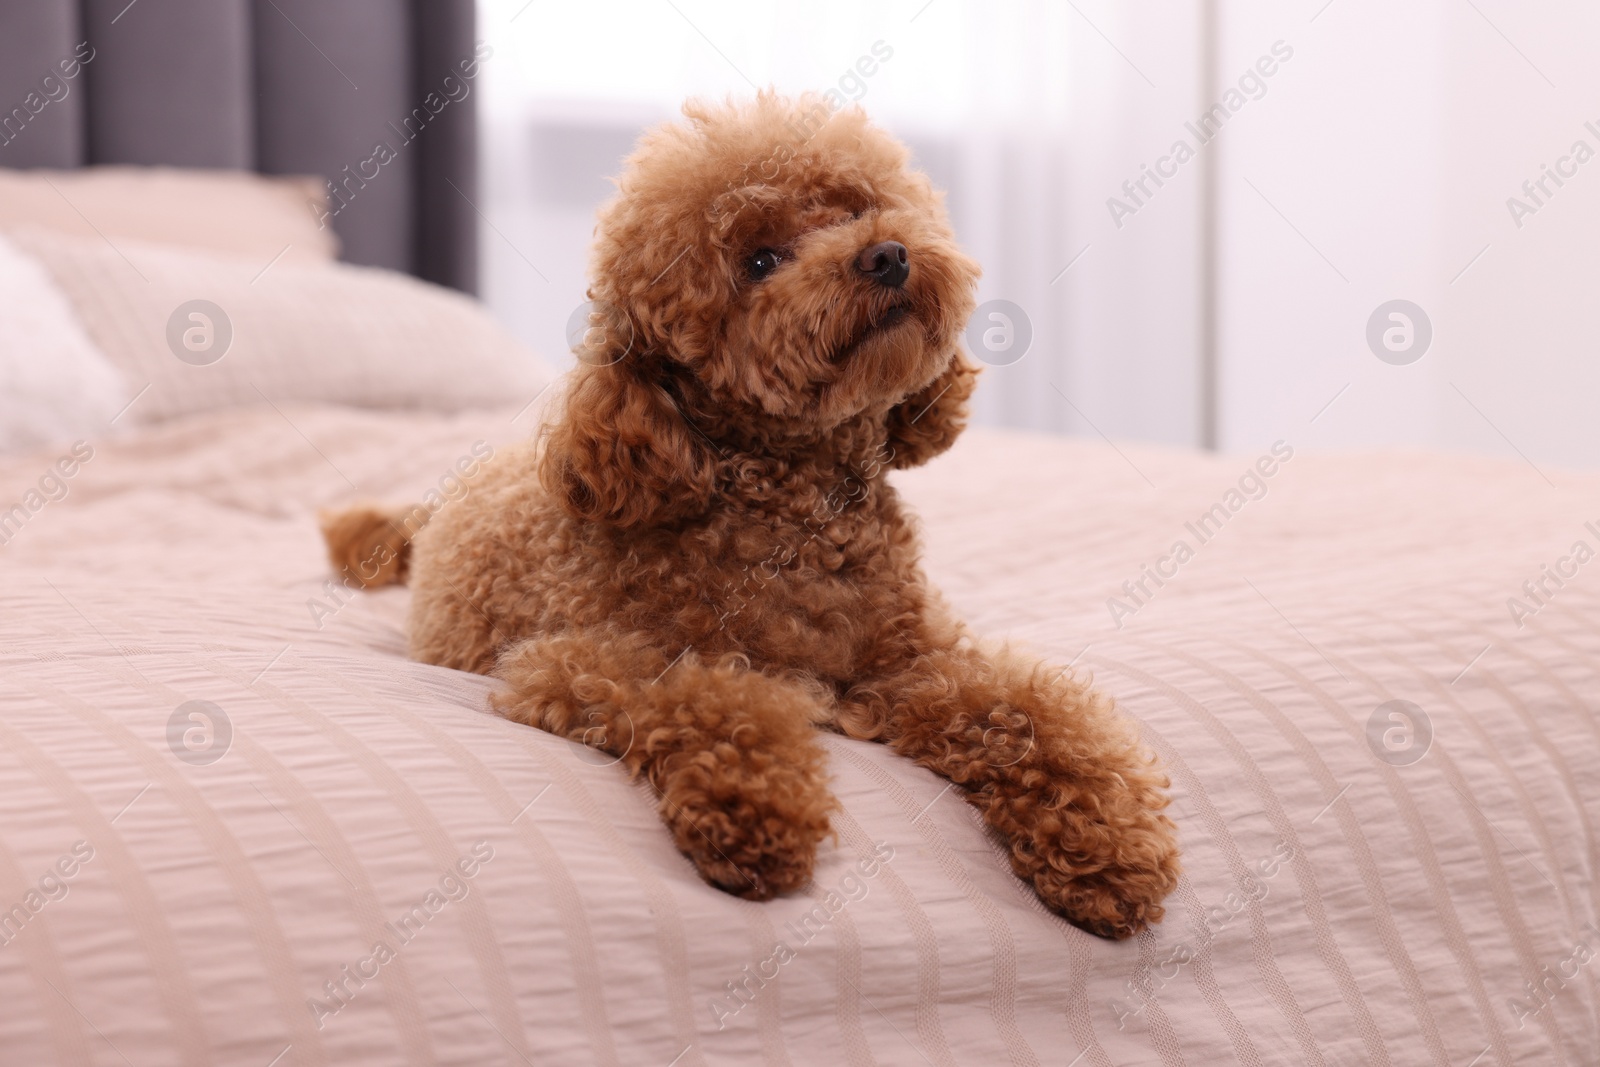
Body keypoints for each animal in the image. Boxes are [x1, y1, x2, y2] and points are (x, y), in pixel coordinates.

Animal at [321, 93, 1177, 940]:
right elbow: (715, 700)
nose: (887, 255)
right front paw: (755, 809)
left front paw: (1107, 840)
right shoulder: (574, 661)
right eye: (760, 261)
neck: (797, 514)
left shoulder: (916, 661)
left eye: (858, 209)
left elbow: (1028, 709)